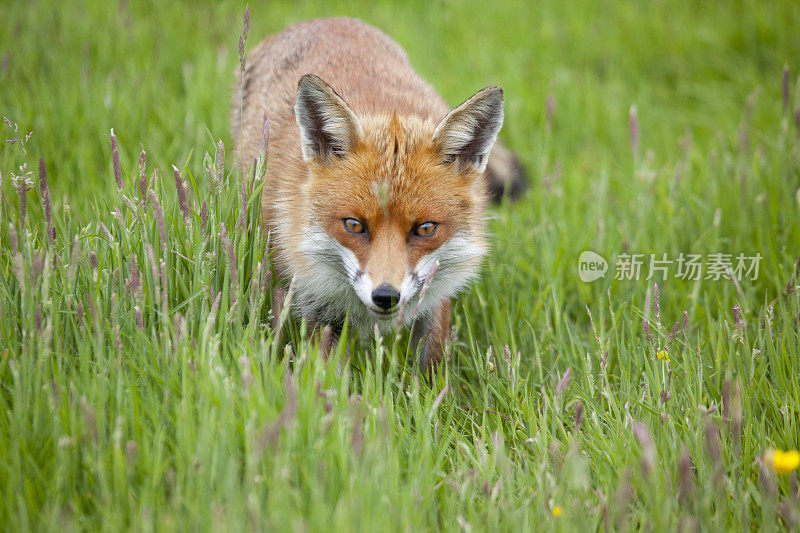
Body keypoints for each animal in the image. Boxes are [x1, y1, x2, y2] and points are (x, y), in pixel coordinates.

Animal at [228, 16, 520, 366]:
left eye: (426, 228)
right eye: (353, 225)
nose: (385, 296)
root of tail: (327, 19)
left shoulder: (435, 294)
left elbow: (432, 363)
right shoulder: (314, 299)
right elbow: (326, 372)